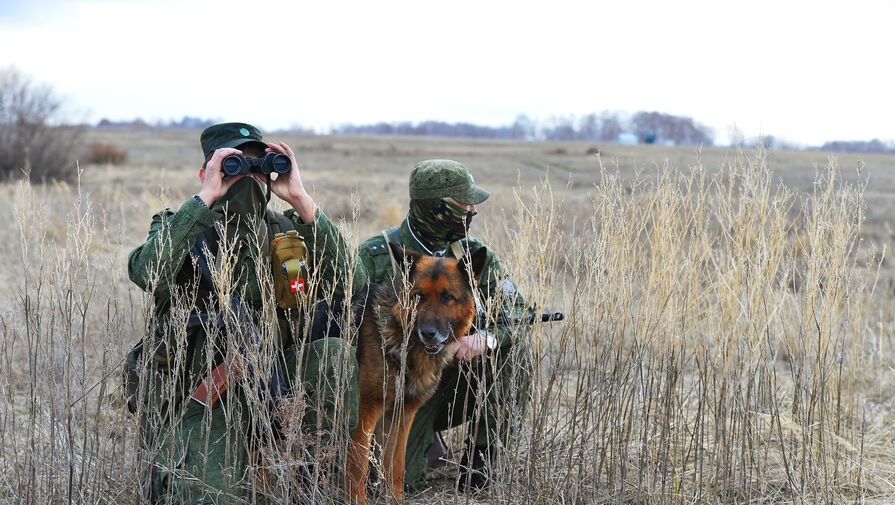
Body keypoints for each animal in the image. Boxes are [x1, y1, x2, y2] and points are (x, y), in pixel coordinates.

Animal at [346, 243, 486, 500]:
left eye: (446, 297)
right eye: (418, 296)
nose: (428, 333)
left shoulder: (401, 415)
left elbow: (395, 467)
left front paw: (395, 499)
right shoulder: (365, 411)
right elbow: (358, 466)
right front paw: (357, 500)